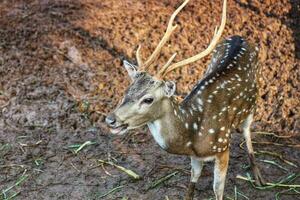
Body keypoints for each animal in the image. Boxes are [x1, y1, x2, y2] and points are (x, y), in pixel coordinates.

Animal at [105, 0, 264, 199]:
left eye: (148, 99)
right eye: (127, 90)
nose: (110, 119)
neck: (192, 135)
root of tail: (241, 37)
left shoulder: (222, 147)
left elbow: (217, 189)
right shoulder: (195, 157)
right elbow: (192, 183)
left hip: (254, 101)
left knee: (247, 130)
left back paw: (258, 176)